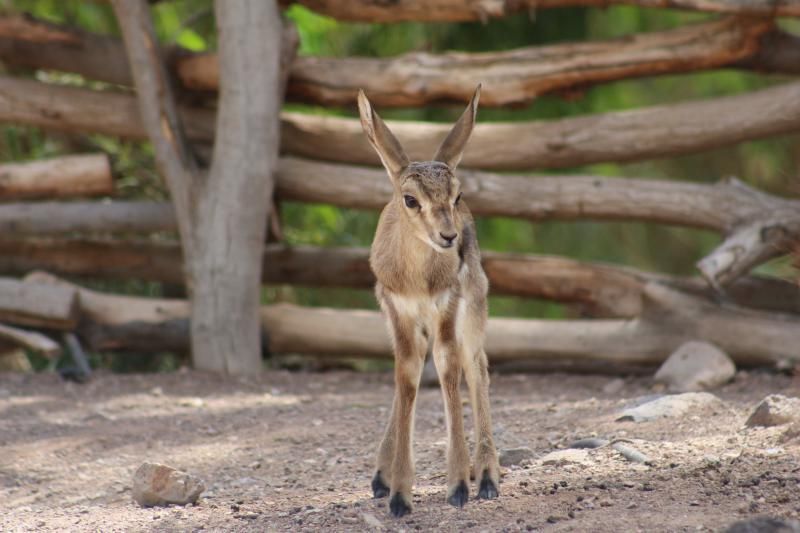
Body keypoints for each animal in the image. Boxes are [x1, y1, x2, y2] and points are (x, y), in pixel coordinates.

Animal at [358, 86, 496, 516]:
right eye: (410, 199)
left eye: (457, 194)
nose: (449, 236)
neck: (417, 282)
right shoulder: (397, 311)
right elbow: (406, 377)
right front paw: (400, 494)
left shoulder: (448, 306)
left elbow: (449, 368)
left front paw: (458, 485)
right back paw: (381, 476)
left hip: (475, 306)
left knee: (476, 365)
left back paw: (487, 477)